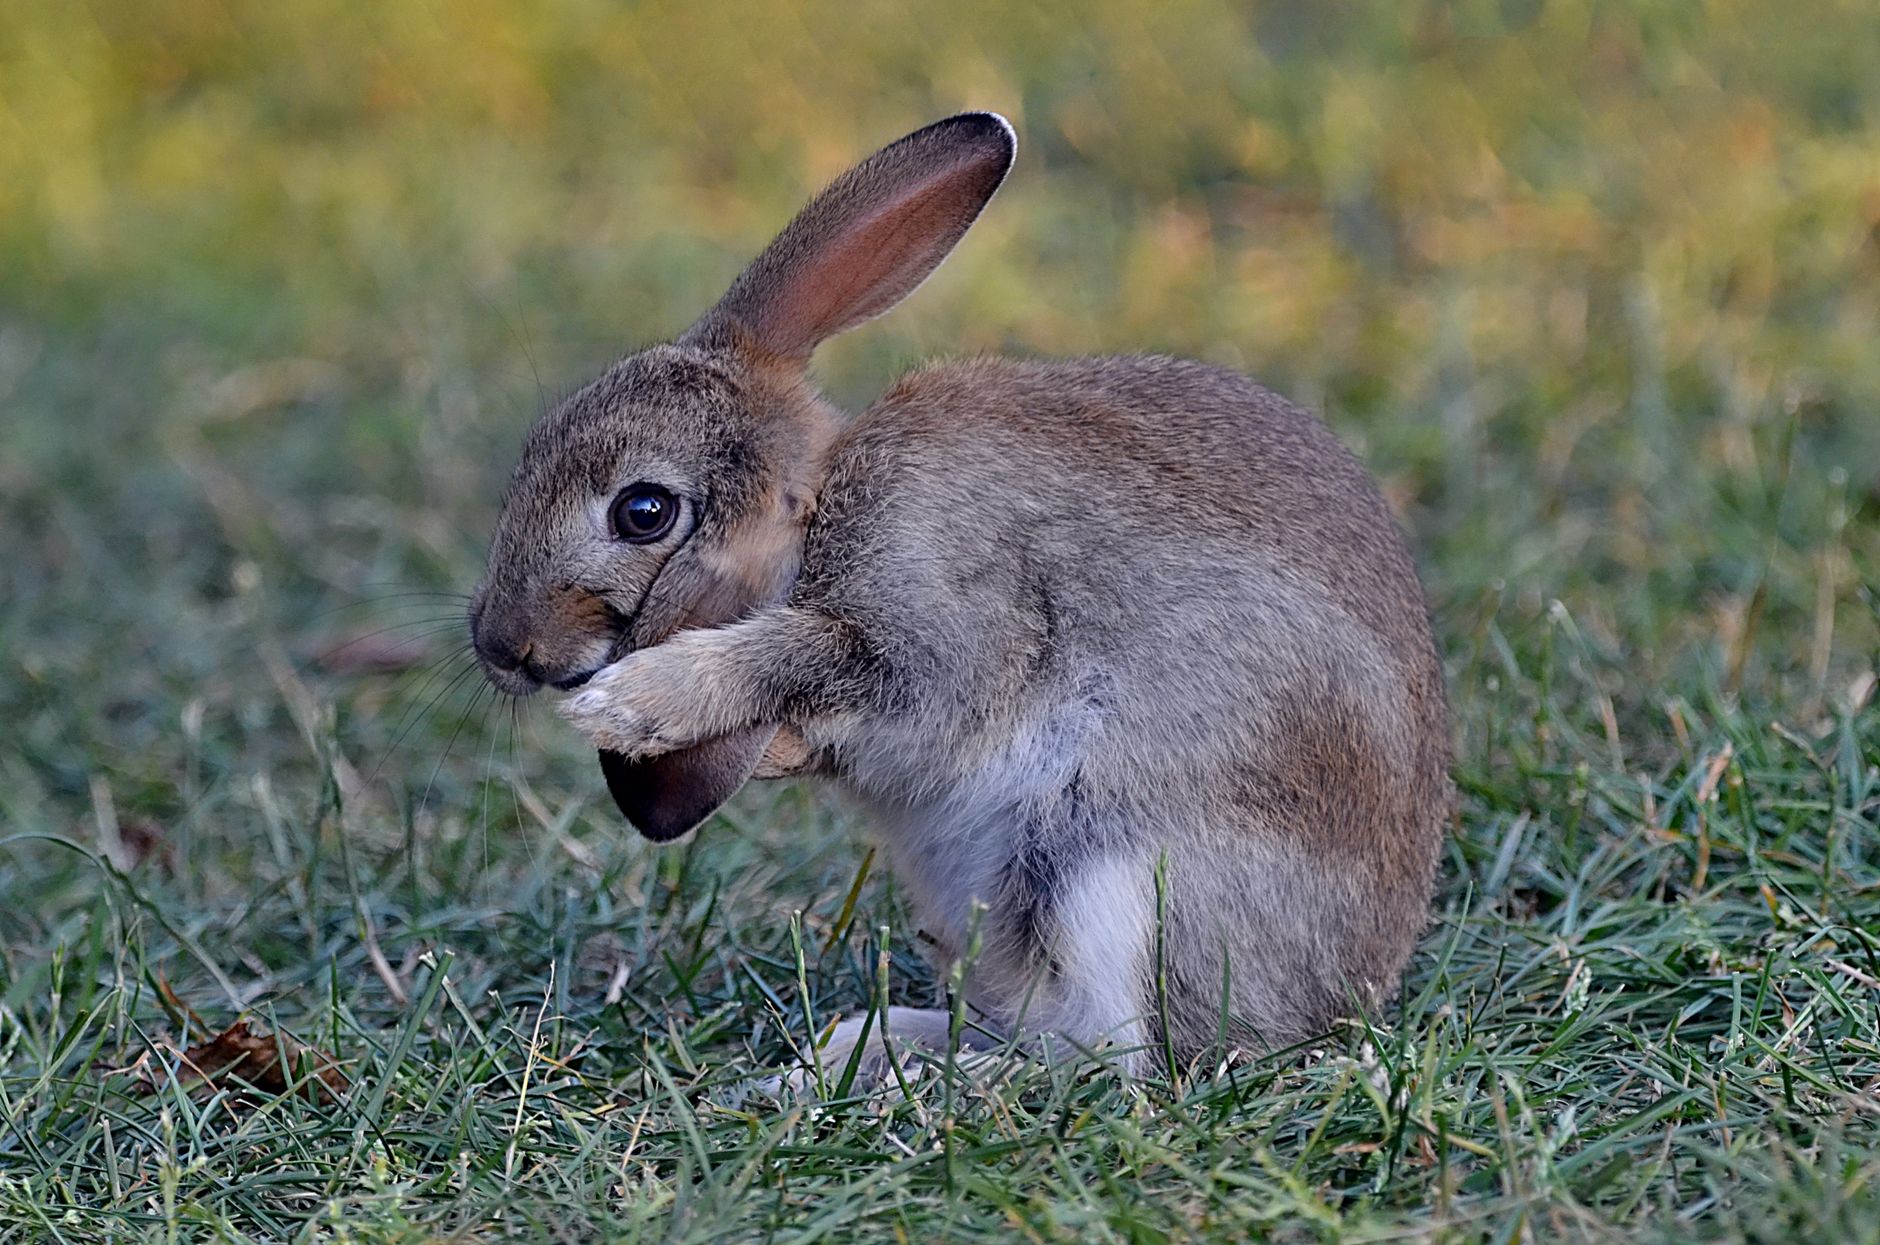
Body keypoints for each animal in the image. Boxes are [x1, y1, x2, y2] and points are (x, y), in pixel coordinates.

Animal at [469, 113, 1451, 1079]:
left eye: (644, 511)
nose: (500, 646)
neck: (816, 511)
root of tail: (1335, 998)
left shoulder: (948, 624)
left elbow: (817, 656)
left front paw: (630, 706)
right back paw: (861, 1047)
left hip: (1108, 867)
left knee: (1106, 1053)